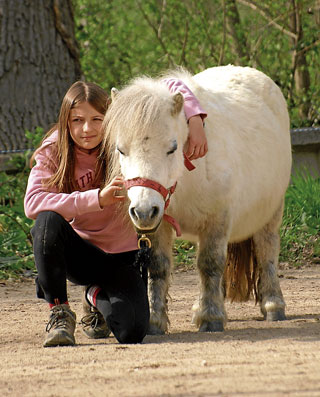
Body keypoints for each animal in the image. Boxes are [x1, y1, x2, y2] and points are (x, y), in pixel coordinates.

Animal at [102, 65, 292, 334]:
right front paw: (155, 321)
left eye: (172, 148)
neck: (186, 178)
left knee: (267, 251)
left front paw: (211, 317)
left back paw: (273, 305)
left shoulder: (217, 220)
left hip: (271, 213)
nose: (143, 211)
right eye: (121, 150)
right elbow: (158, 268)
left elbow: (210, 264)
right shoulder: (159, 226)